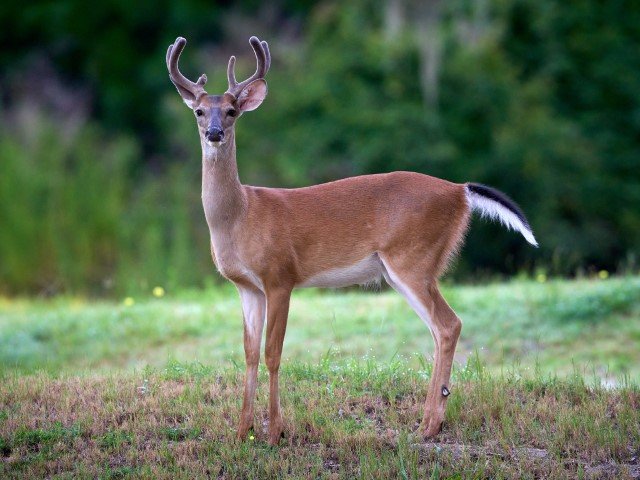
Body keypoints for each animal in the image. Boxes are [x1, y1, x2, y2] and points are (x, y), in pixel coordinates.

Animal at [168, 35, 536, 444]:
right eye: (200, 111)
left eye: (232, 111)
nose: (214, 133)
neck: (241, 216)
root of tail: (460, 190)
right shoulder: (247, 286)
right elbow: (248, 352)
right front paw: (241, 431)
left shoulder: (281, 276)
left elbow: (272, 353)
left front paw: (275, 432)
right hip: (404, 268)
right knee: (441, 327)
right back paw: (427, 423)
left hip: (413, 257)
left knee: (448, 324)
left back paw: (427, 426)